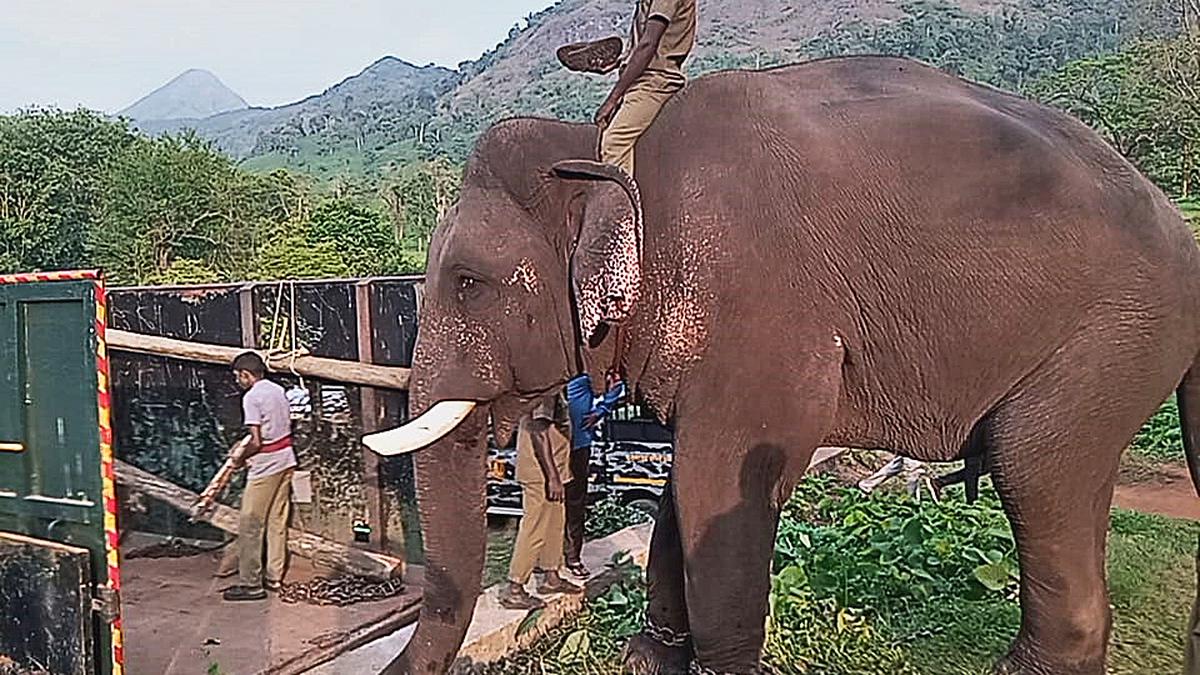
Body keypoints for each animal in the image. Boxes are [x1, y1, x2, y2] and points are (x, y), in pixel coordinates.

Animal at [369, 56, 1200, 672]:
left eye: (467, 282)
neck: (607, 144)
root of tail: (1182, 233)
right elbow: (681, 491)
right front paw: (648, 657)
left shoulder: (760, 302)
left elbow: (722, 480)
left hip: (1112, 334)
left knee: (1033, 465)